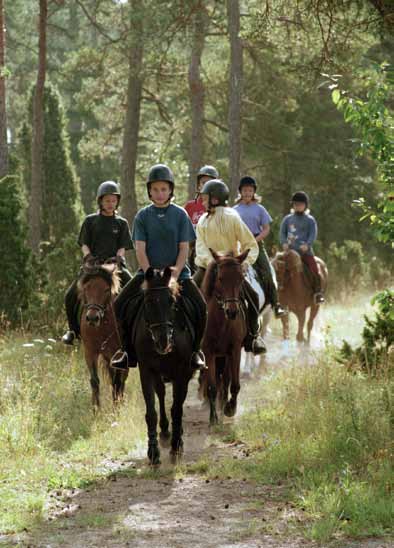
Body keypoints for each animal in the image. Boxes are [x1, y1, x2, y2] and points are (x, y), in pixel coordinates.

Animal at [78, 264, 129, 408]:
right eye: (86, 288)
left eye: (106, 289)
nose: (92, 318)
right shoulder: (90, 352)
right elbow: (95, 381)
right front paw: (96, 409)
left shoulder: (117, 354)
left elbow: (118, 382)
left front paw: (116, 408)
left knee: (122, 379)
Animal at [132, 268, 195, 464]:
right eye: (148, 302)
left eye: (172, 301)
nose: (163, 341)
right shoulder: (146, 369)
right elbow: (151, 411)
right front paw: (153, 452)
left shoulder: (182, 371)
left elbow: (177, 409)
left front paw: (176, 446)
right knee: (161, 393)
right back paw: (166, 432)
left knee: (177, 402)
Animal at [200, 250, 249, 426]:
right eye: (220, 278)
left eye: (240, 278)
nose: (232, 311)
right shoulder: (208, 352)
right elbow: (212, 387)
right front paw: (213, 419)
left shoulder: (235, 350)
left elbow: (234, 384)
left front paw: (230, 409)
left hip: (226, 355)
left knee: (226, 380)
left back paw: (223, 406)